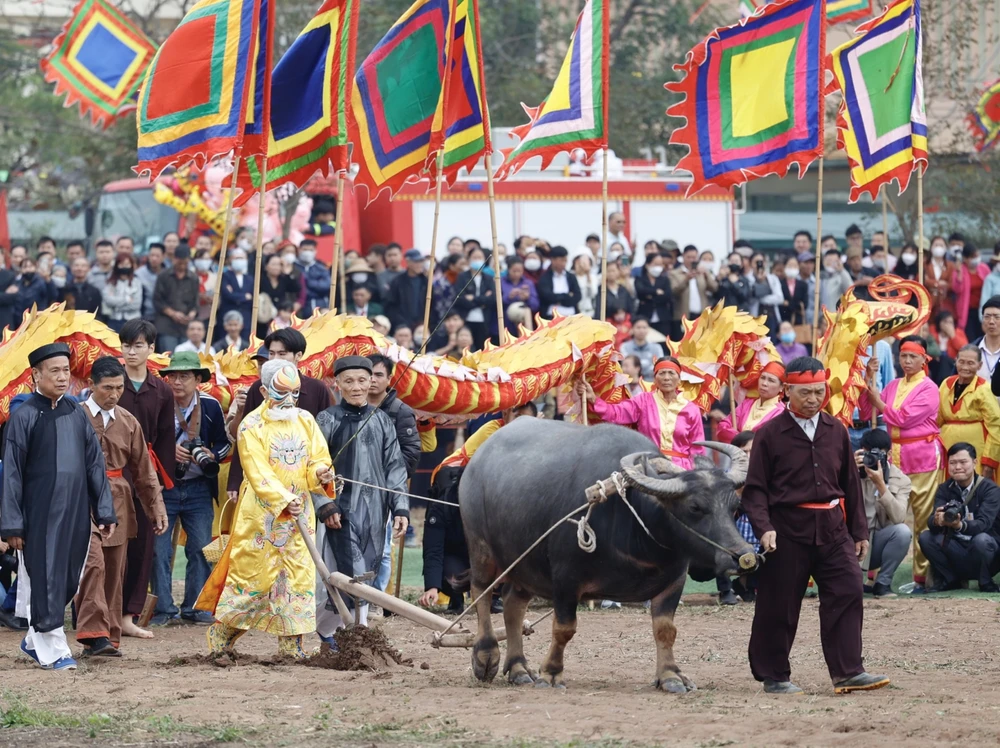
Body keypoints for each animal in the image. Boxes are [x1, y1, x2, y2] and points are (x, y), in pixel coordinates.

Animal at [460, 418, 756, 692]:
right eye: (695, 507)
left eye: (734, 504)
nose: (743, 556)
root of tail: (476, 462)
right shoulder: (565, 579)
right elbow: (564, 628)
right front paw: (551, 673)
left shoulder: (674, 581)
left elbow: (665, 630)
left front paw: (671, 675)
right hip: (481, 548)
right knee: (481, 594)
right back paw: (486, 656)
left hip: (524, 564)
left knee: (513, 605)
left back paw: (519, 668)